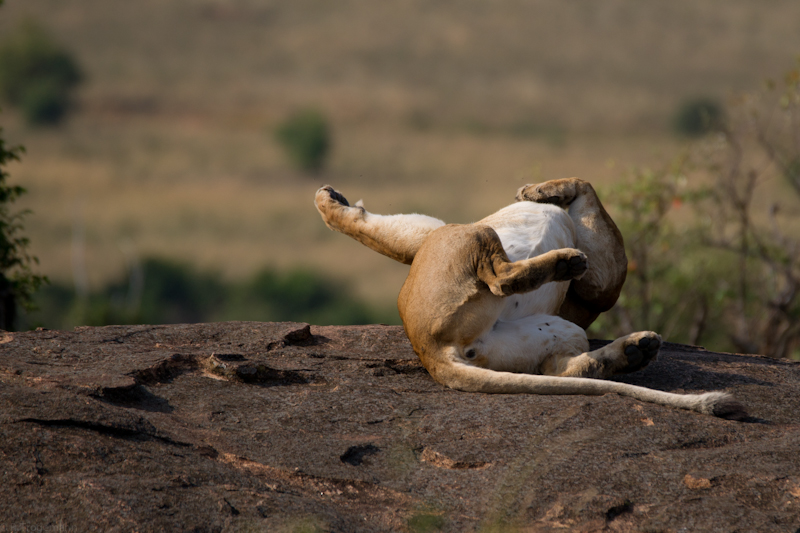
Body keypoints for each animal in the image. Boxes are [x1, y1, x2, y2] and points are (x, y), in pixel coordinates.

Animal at [312, 179, 744, 420]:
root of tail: (431, 353)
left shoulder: (426, 237)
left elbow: (377, 230)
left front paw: (329, 198)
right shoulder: (603, 278)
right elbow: (587, 189)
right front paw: (541, 191)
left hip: (549, 329)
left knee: (567, 368)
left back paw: (634, 350)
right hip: (469, 233)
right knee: (501, 279)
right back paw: (569, 264)